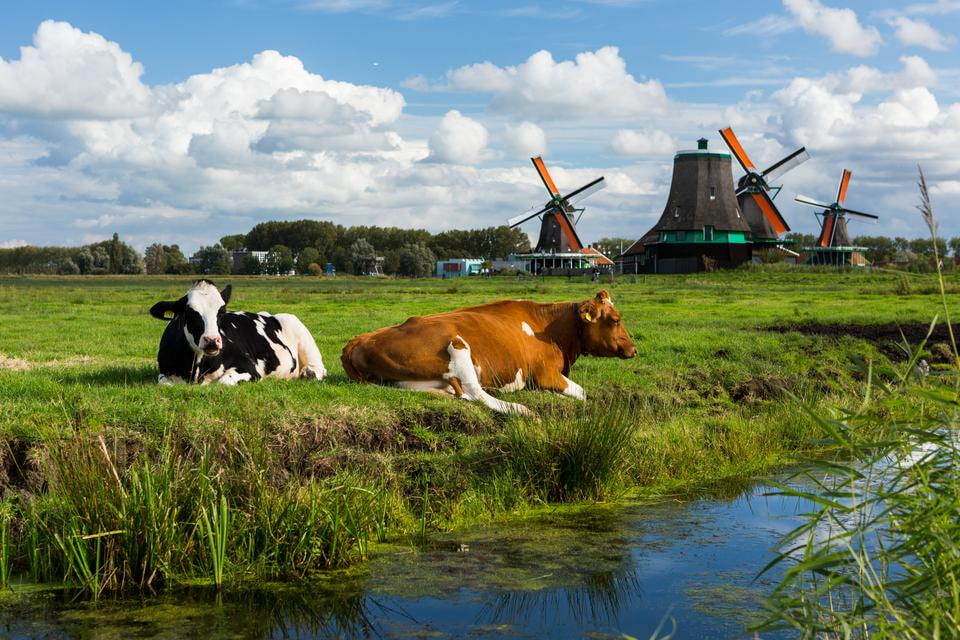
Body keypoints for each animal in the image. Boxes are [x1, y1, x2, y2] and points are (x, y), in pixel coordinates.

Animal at [148, 280, 328, 384]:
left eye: (221, 312)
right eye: (190, 312)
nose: (212, 340)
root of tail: (269, 314)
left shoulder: (249, 368)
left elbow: (223, 382)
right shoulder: (164, 373)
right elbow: (164, 383)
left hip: (301, 334)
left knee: (319, 368)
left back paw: (309, 373)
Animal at [342, 290, 632, 416]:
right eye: (615, 320)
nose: (633, 348)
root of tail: (358, 340)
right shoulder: (546, 374)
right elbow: (582, 394)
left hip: (412, 380)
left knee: (461, 394)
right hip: (458, 346)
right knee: (475, 393)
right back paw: (521, 410)